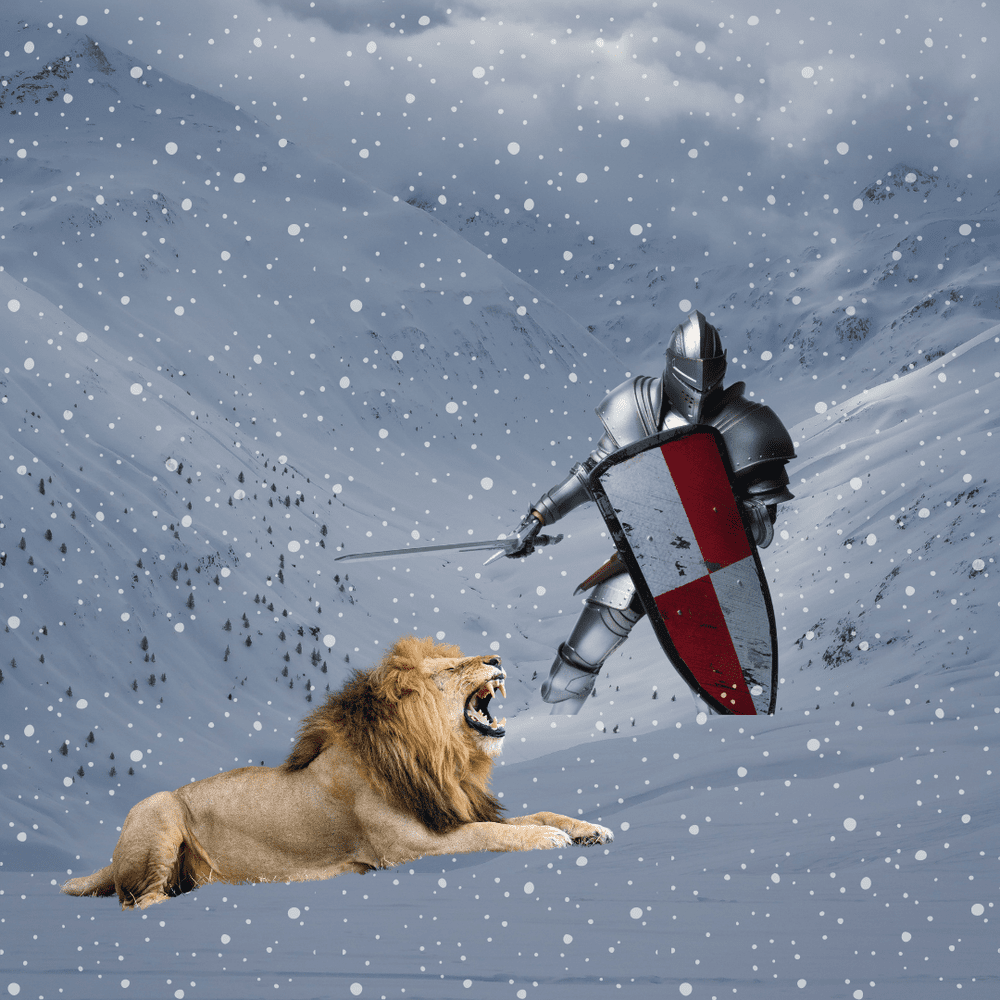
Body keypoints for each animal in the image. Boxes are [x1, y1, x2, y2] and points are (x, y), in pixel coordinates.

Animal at [62, 636, 613, 909]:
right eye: (452, 670)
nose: (497, 658)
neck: (443, 759)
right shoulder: (412, 847)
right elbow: (490, 835)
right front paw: (547, 840)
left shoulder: (449, 813)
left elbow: (536, 813)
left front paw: (587, 828)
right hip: (157, 810)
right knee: (137, 903)